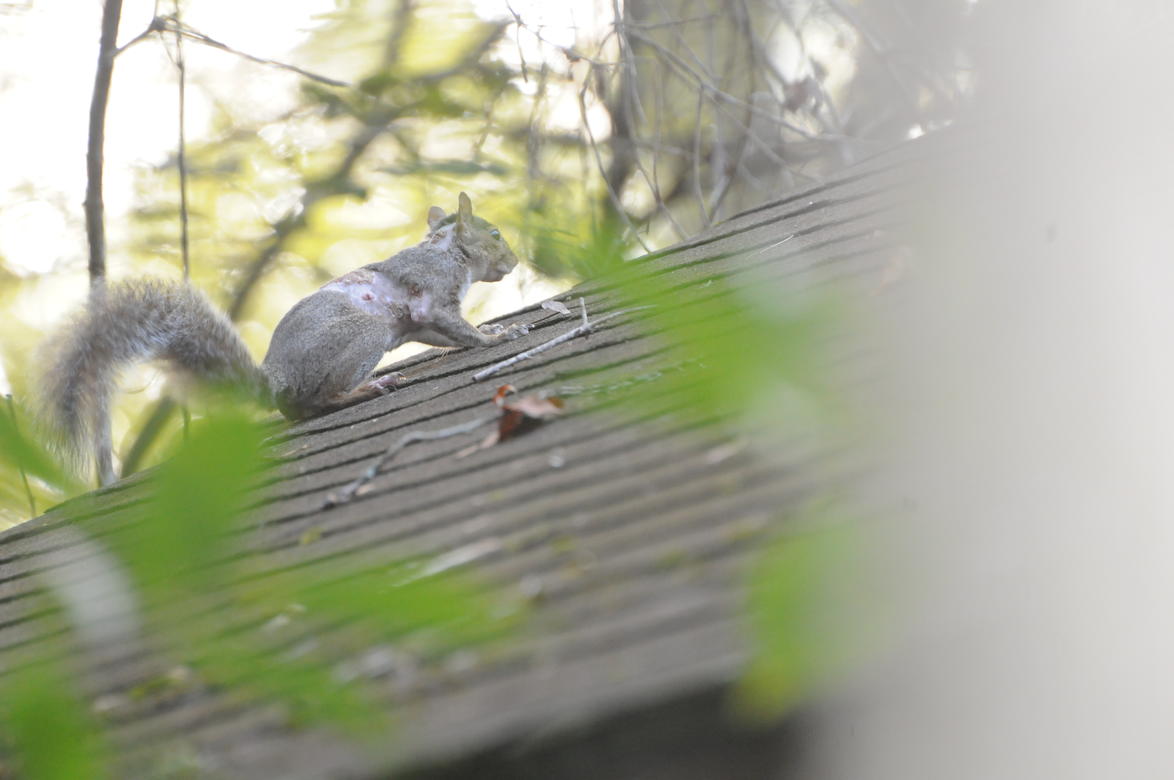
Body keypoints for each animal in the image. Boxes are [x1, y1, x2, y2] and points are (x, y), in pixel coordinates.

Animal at [40, 192, 529, 486]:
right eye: (495, 233)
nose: (515, 262)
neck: (447, 249)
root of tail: (275, 381)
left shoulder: (422, 321)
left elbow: (444, 334)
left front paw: (488, 331)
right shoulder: (433, 296)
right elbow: (459, 328)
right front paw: (496, 336)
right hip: (363, 336)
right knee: (314, 403)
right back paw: (366, 388)